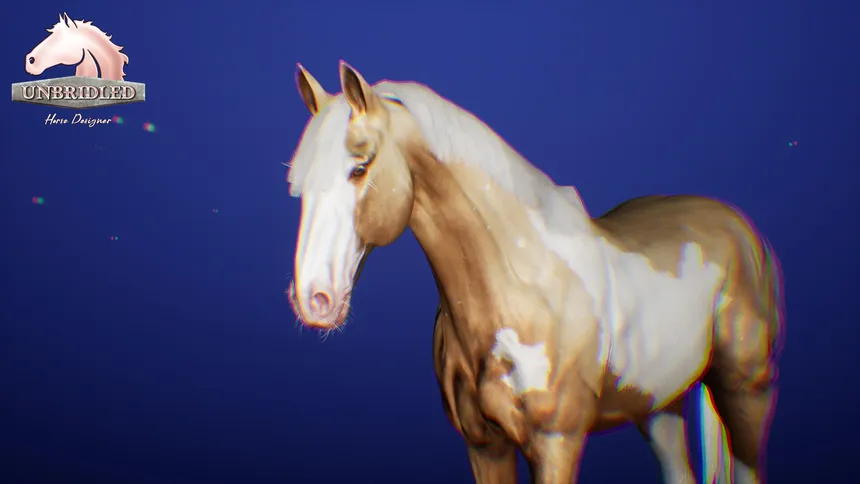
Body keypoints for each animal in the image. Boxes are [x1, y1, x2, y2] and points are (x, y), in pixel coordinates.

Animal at [286, 62, 784, 484]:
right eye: (298, 183)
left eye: (360, 166)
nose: (314, 300)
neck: (521, 288)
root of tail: (741, 229)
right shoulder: (485, 446)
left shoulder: (556, 443)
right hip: (659, 404)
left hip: (746, 390)